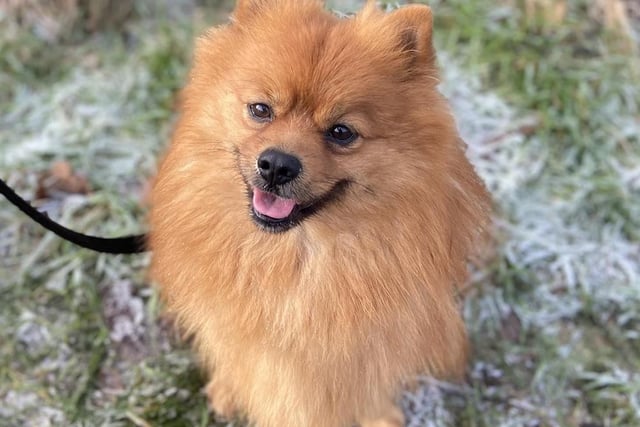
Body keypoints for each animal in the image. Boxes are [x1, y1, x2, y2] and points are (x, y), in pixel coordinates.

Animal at [150, 0, 490, 427]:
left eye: (341, 132)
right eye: (260, 110)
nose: (277, 165)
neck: (297, 255)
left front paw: (376, 415)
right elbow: (236, 354)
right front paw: (230, 387)